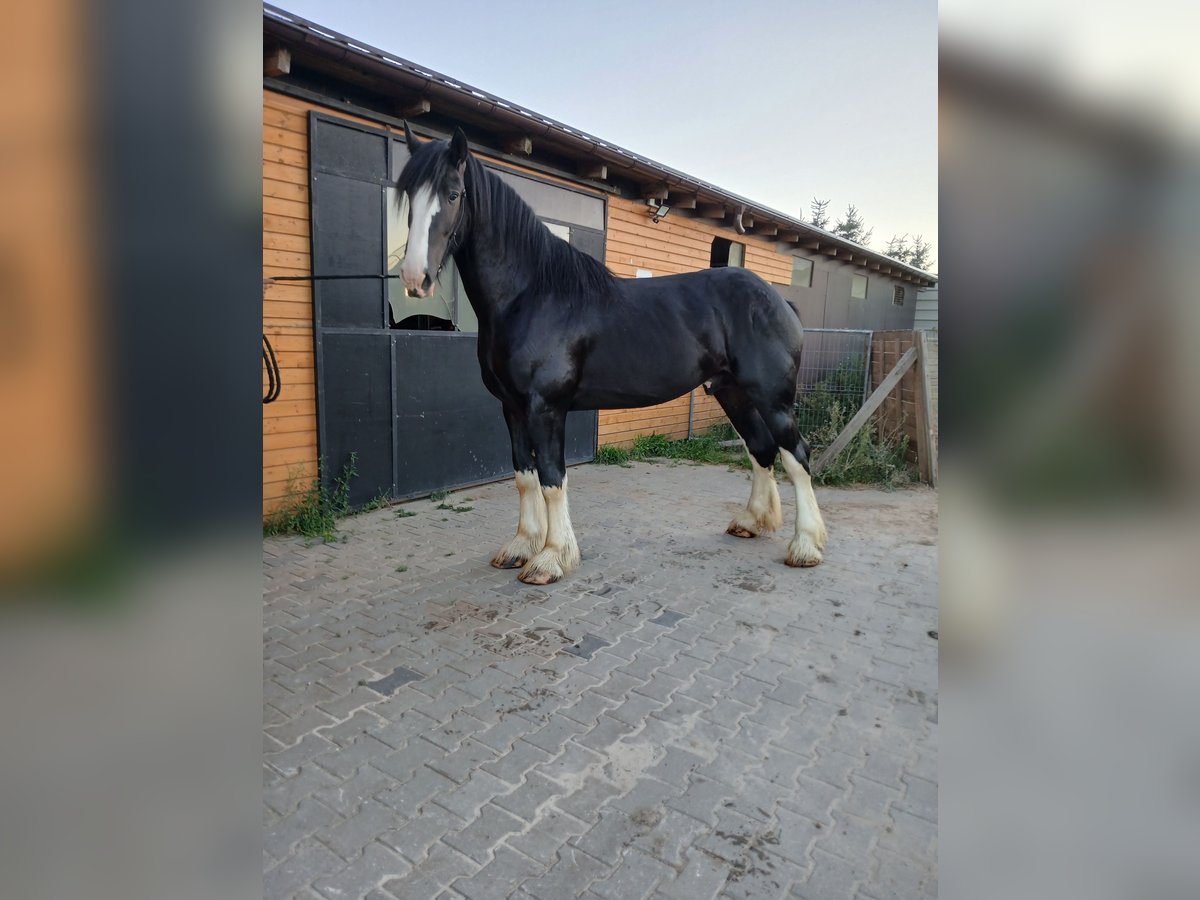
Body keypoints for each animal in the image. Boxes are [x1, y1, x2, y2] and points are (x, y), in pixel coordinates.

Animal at [393, 125, 825, 585]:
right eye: (409, 194)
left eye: (454, 194)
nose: (415, 277)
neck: (531, 295)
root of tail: (778, 300)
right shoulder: (511, 408)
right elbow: (524, 477)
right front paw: (521, 546)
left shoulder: (546, 408)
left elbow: (551, 478)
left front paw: (551, 558)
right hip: (733, 392)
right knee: (760, 449)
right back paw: (751, 523)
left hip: (771, 399)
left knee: (796, 455)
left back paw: (806, 546)